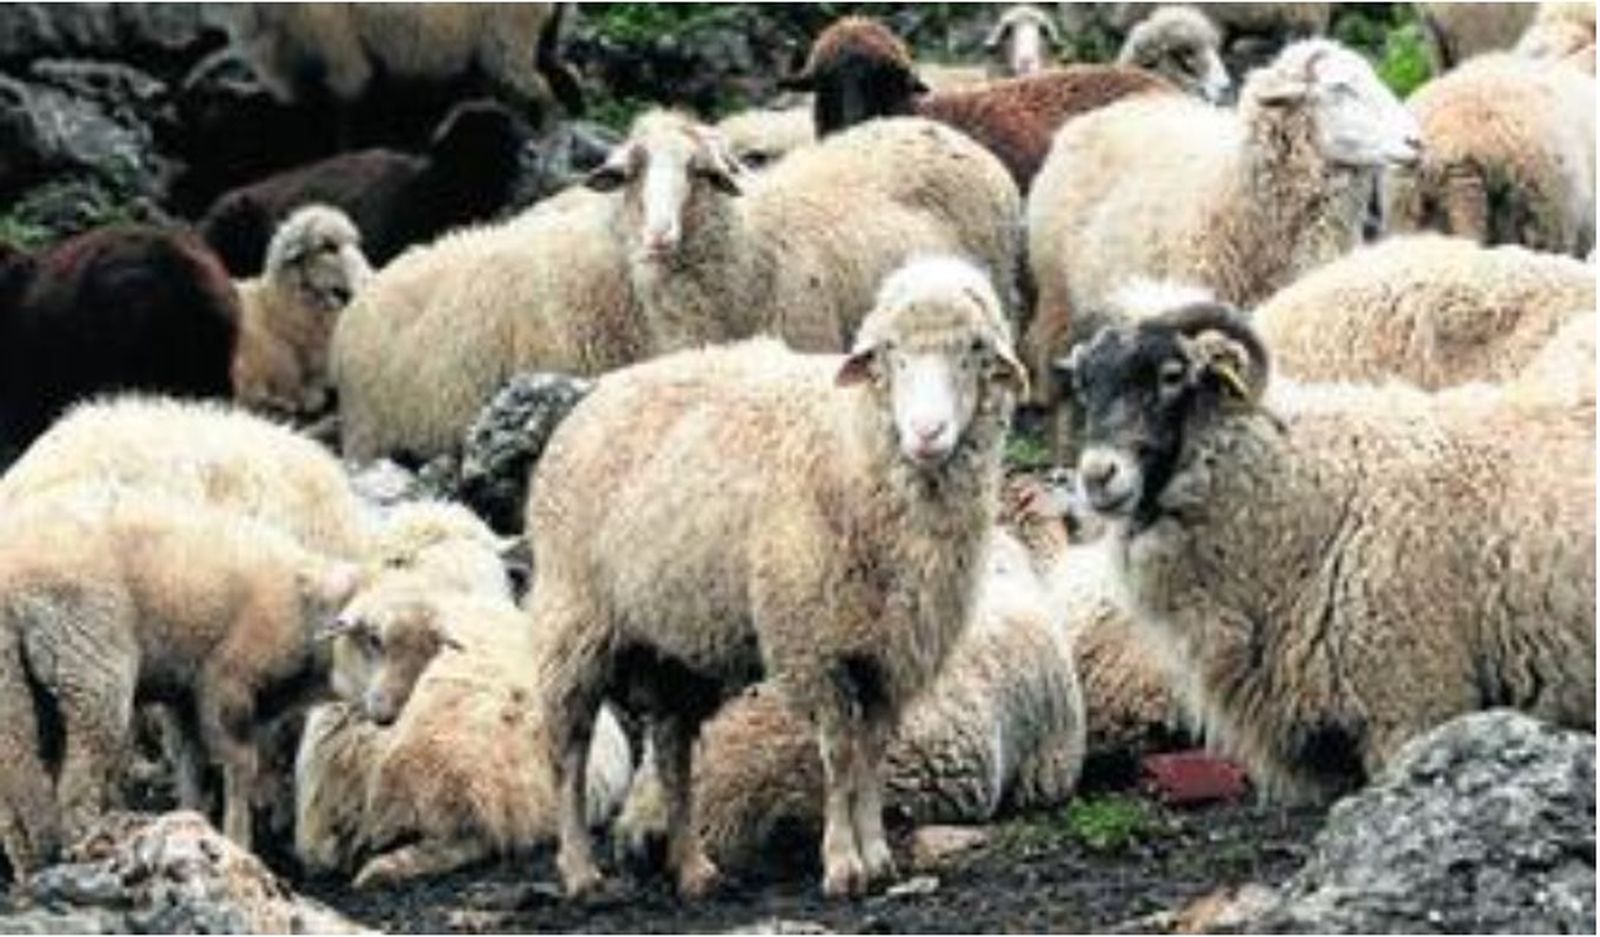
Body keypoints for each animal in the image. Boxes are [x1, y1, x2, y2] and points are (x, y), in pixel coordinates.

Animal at [0, 485, 362, 865]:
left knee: (16, 786)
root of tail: (13, 585)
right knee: (76, 785)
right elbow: (237, 763)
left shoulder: (186, 694)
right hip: (90, 664)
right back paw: (85, 847)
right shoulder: (225, 684)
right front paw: (237, 839)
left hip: (13, 681)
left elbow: (191, 762)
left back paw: (32, 864)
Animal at [222, 3, 582, 127]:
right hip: (534, 37)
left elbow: (345, 111)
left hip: (506, 36)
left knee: (539, 87)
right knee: (561, 74)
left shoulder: (342, 54)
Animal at [528, 256, 1027, 899]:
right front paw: (843, 864)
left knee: (671, 751)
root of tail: (594, 396)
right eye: (890, 351)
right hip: (573, 620)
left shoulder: (890, 654)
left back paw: (693, 868)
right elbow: (838, 756)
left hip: (673, 646)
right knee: (569, 750)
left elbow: (873, 753)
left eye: (974, 349)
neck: (853, 447)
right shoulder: (814, 642)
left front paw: (877, 855)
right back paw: (580, 871)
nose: (927, 432)